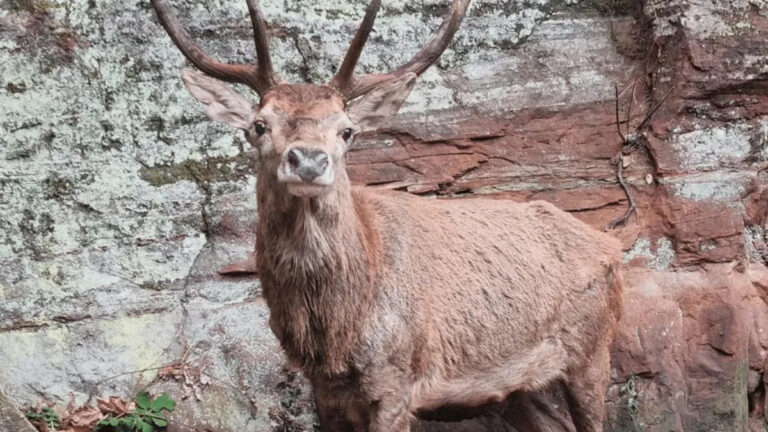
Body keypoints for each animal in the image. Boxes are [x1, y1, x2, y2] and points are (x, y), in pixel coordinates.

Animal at [150, 0, 624, 431]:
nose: (309, 160)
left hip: (593, 347)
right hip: (522, 384)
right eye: (259, 125)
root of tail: (611, 246)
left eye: (347, 130)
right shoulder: (324, 392)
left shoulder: (396, 381)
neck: (335, 333)